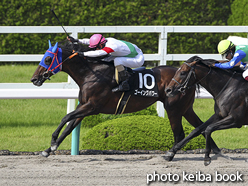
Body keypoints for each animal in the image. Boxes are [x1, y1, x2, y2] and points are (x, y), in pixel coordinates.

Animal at [30, 40, 219, 157]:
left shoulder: (92, 106)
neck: (92, 74)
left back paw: (171, 153)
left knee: (180, 133)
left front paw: (53, 142)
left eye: (48, 59)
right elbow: (69, 127)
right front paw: (47, 150)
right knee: (200, 127)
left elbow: (66, 117)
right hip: (186, 108)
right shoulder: (84, 107)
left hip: (173, 108)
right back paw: (217, 151)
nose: (34, 79)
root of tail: (189, 76)